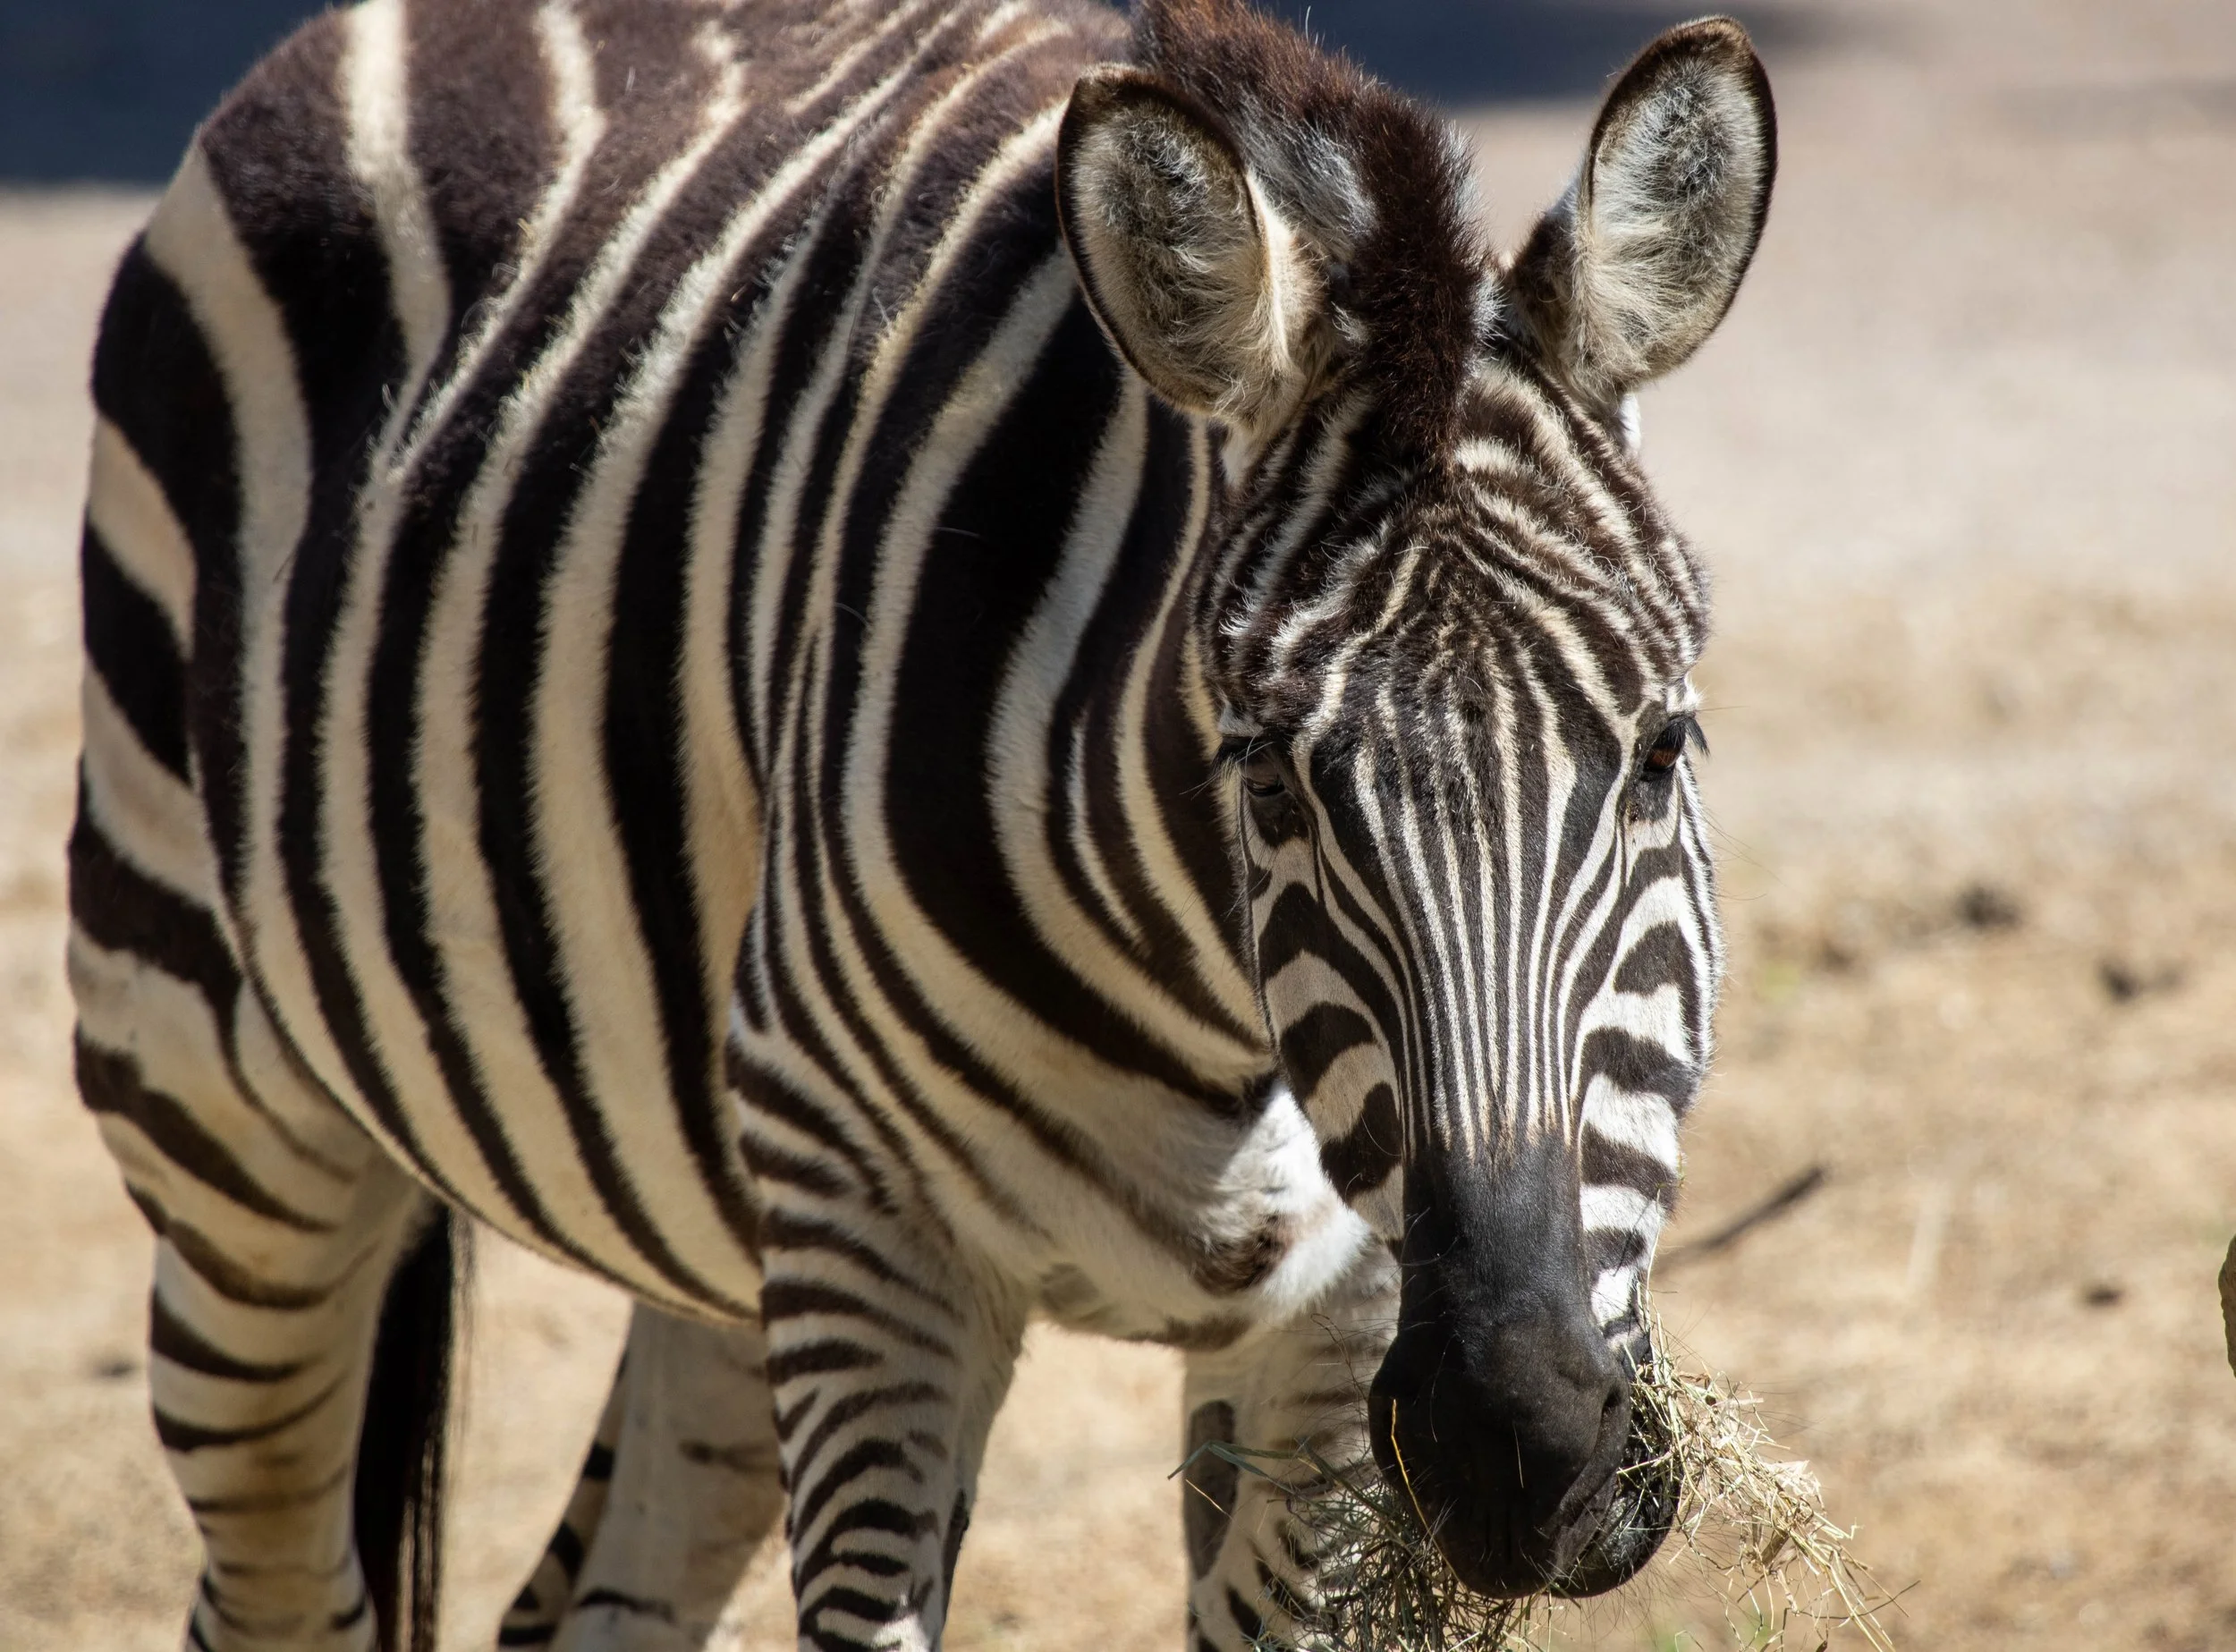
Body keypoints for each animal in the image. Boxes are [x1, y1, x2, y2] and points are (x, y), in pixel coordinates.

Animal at [66, 0, 1773, 1645]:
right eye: (1269, 778)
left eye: (1659, 749)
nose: (1518, 1447)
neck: (1218, 1018)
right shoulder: (870, 1239)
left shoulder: (1342, 1312)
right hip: (222, 1115)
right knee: (279, 1587)